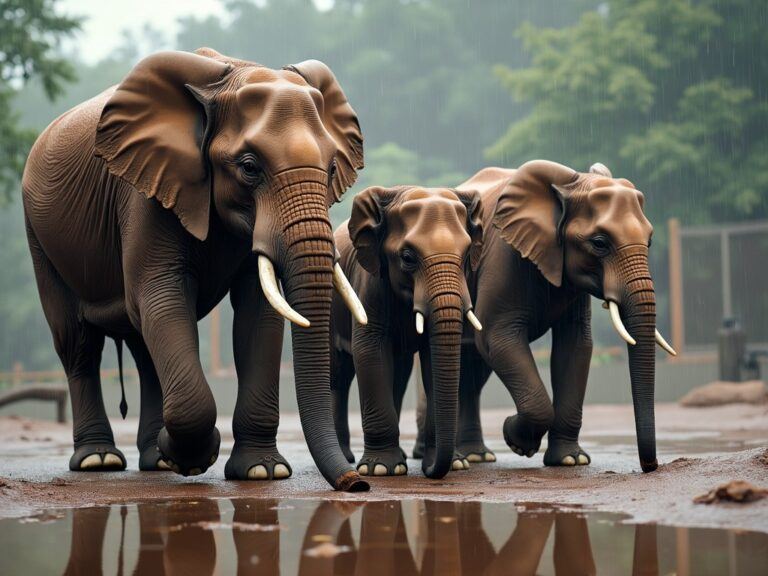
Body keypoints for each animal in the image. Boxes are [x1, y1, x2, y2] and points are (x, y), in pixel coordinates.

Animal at [22, 47, 370, 492]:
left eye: (331, 170)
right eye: (249, 167)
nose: (356, 484)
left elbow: (257, 313)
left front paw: (261, 471)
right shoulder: (146, 192)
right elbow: (162, 295)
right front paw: (189, 459)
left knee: (143, 348)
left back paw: (154, 460)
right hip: (40, 235)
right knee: (78, 341)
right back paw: (99, 461)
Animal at [328, 184, 484, 476]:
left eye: (467, 255)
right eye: (408, 257)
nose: (431, 471)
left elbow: (431, 361)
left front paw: (456, 464)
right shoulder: (371, 283)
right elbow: (370, 351)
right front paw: (381, 469)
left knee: (399, 377)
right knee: (339, 375)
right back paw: (346, 457)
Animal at [420, 160, 672, 470]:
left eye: (649, 242)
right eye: (600, 243)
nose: (651, 466)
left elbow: (576, 346)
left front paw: (570, 460)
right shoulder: (504, 253)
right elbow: (496, 336)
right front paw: (517, 440)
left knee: (472, 374)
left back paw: (478, 456)